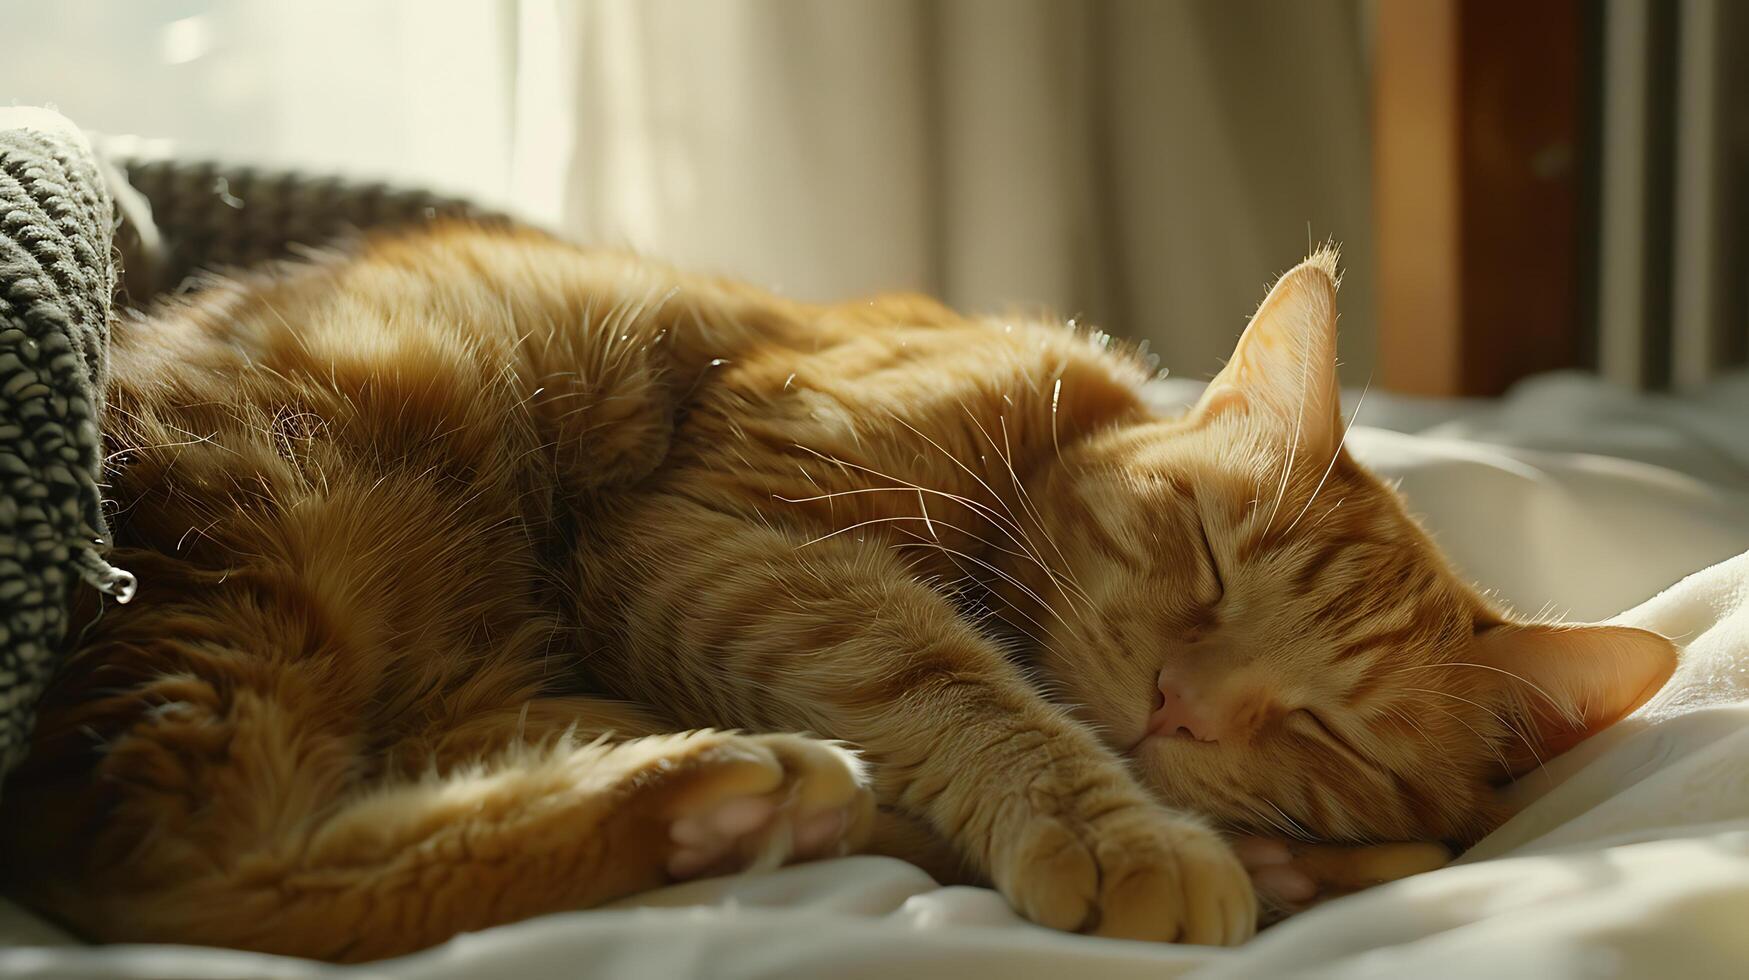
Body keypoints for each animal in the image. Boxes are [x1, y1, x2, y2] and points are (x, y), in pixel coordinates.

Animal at [0, 225, 1672, 959]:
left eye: (1334, 732)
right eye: (1202, 560)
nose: (1180, 708)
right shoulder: (707, 542)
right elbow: (947, 675)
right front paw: (1122, 831)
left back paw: (707, 801)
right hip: (294, 520)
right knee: (175, 871)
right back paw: (701, 791)